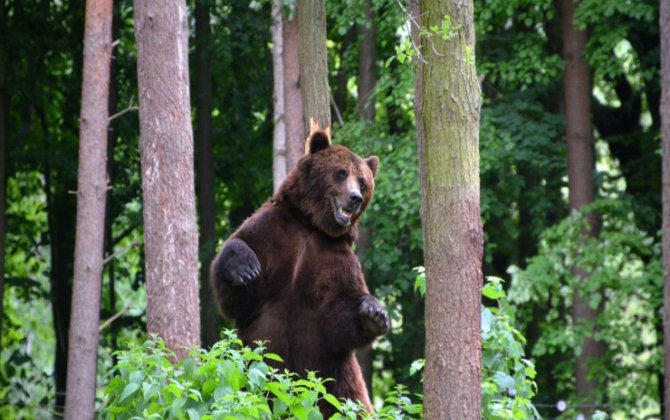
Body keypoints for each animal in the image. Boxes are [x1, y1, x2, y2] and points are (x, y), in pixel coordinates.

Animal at [210, 130, 388, 416]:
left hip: (334, 379)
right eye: (341, 173)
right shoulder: (272, 230)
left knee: (349, 404)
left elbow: (339, 311)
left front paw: (374, 313)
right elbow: (238, 299)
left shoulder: (333, 256)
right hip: (250, 370)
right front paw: (244, 267)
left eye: (362, 182)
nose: (355, 198)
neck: (311, 225)